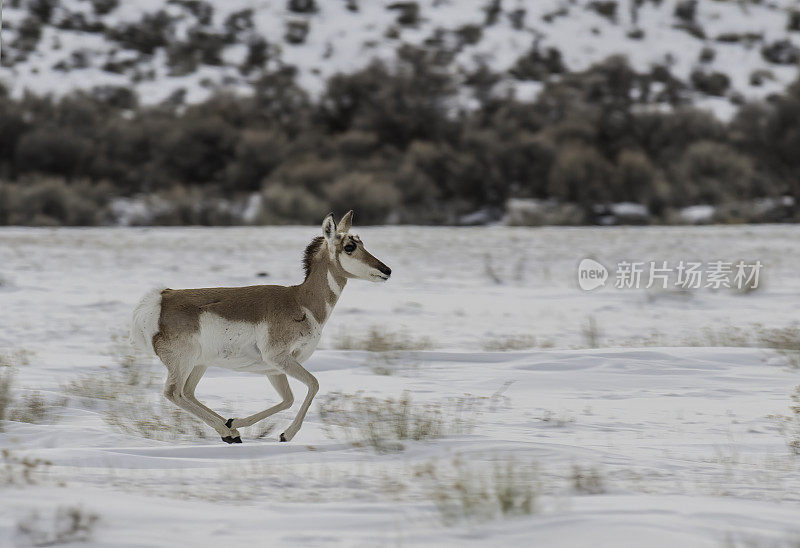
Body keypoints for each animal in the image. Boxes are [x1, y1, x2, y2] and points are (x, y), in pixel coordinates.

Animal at [130, 212, 392, 444]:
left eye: (361, 242)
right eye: (349, 246)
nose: (386, 270)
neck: (300, 301)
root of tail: (161, 298)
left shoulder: (274, 369)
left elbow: (288, 399)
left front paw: (235, 422)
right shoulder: (279, 358)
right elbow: (314, 384)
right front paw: (286, 434)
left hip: (199, 364)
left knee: (188, 392)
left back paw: (230, 431)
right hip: (184, 361)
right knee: (174, 392)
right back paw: (227, 431)